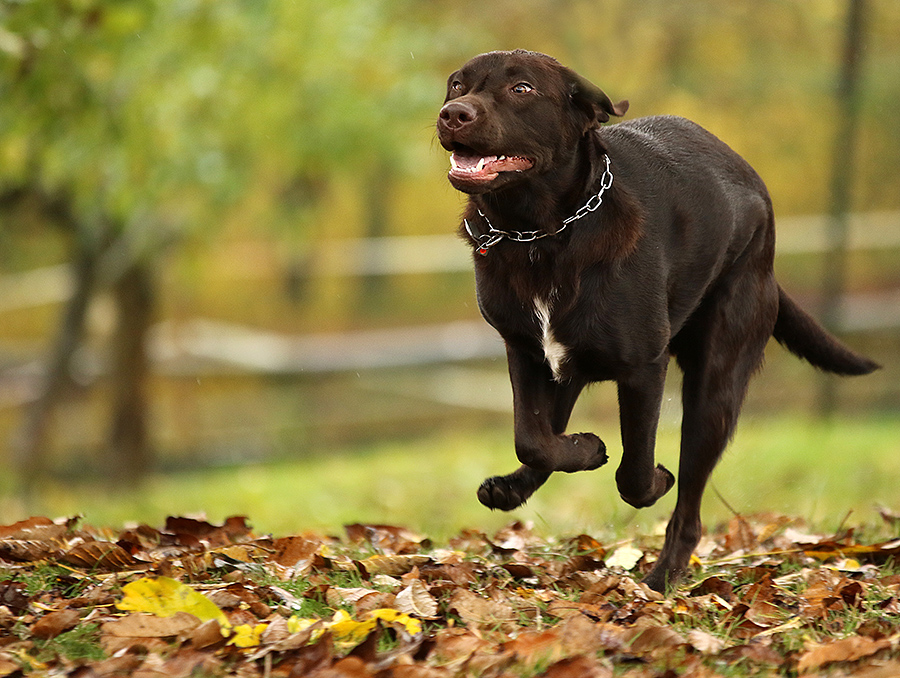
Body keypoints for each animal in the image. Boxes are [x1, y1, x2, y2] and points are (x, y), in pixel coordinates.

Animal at [436, 50, 880, 592]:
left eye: (522, 89)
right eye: (457, 85)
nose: (454, 114)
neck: (543, 234)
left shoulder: (644, 367)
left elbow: (633, 473)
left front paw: (650, 477)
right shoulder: (526, 350)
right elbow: (533, 439)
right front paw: (584, 449)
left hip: (714, 388)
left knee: (689, 505)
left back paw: (663, 576)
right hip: (574, 366)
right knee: (547, 437)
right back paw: (524, 483)